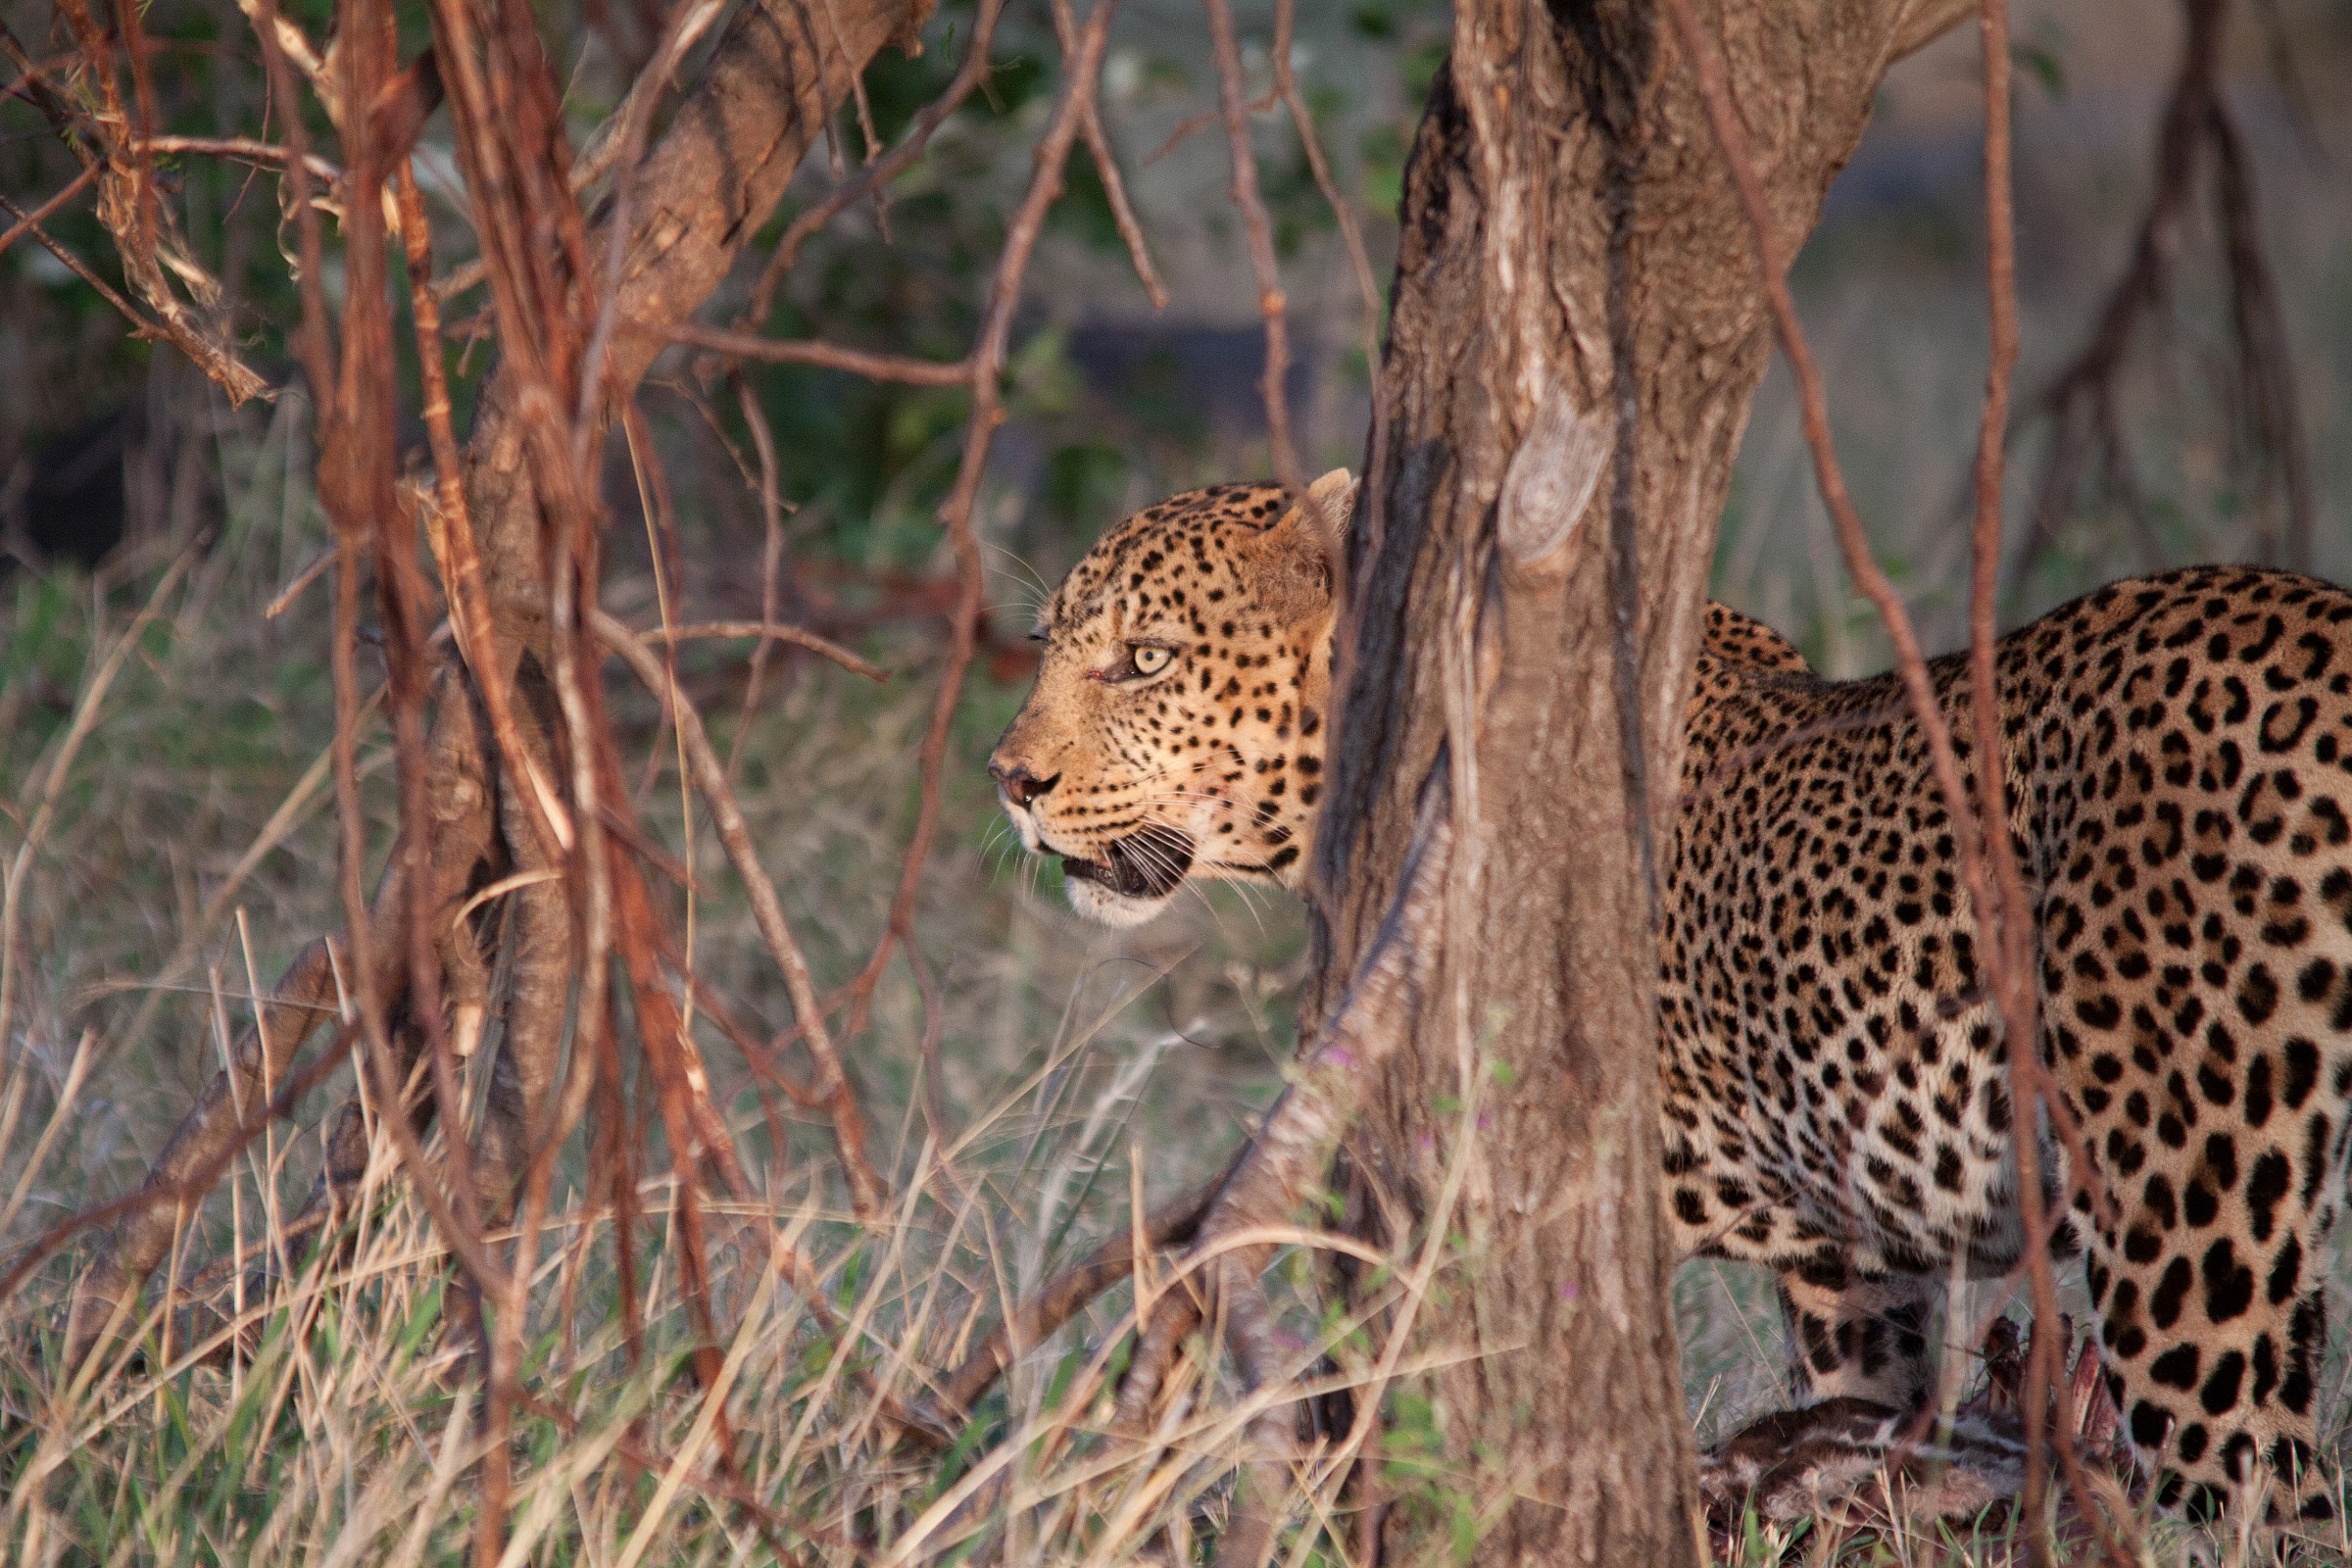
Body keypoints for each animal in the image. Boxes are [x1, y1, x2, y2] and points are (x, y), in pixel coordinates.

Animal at [988, 469, 2352, 1526]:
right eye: (1054, 644)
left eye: (1144, 661)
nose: (1011, 778)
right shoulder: (1857, 1255)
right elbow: (1866, 1408)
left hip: (2192, 1225)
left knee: (2265, 1497)